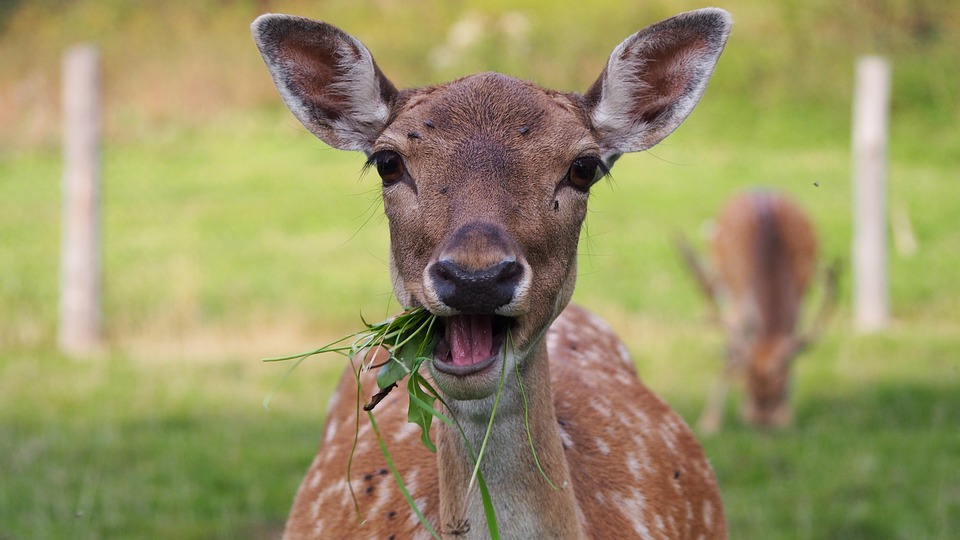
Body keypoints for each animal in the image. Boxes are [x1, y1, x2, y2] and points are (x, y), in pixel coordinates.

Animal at [676, 191, 840, 434]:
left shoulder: (800, 297)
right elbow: (731, 351)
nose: (761, 421)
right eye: (748, 382)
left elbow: (792, 347)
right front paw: (710, 423)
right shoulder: (737, 299)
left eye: (780, 385)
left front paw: (788, 417)